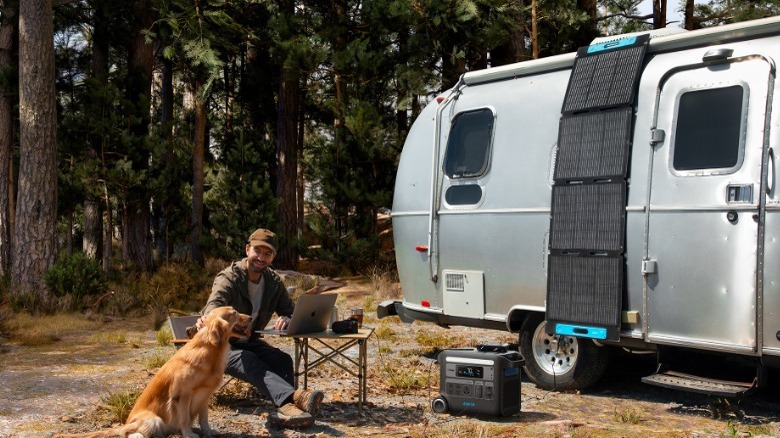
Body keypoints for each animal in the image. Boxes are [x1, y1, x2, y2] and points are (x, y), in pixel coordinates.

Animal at [58, 308, 253, 438]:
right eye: (234, 313)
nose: (251, 317)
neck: (210, 351)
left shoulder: (205, 395)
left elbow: (204, 419)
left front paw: (209, 431)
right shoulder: (183, 395)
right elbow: (184, 419)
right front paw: (189, 434)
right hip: (154, 420)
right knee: (131, 434)